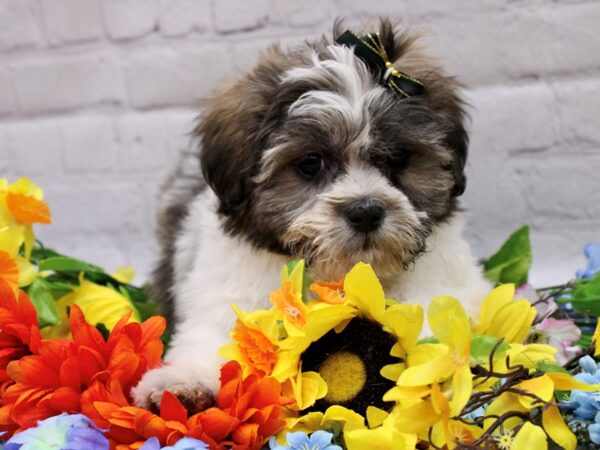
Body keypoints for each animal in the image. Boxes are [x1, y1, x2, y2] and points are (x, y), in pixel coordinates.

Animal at [132, 17, 492, 412]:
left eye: (397, 158)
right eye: (310, 163)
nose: (365, 212)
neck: (342, 275)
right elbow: (216, 334)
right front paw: (183, 381)